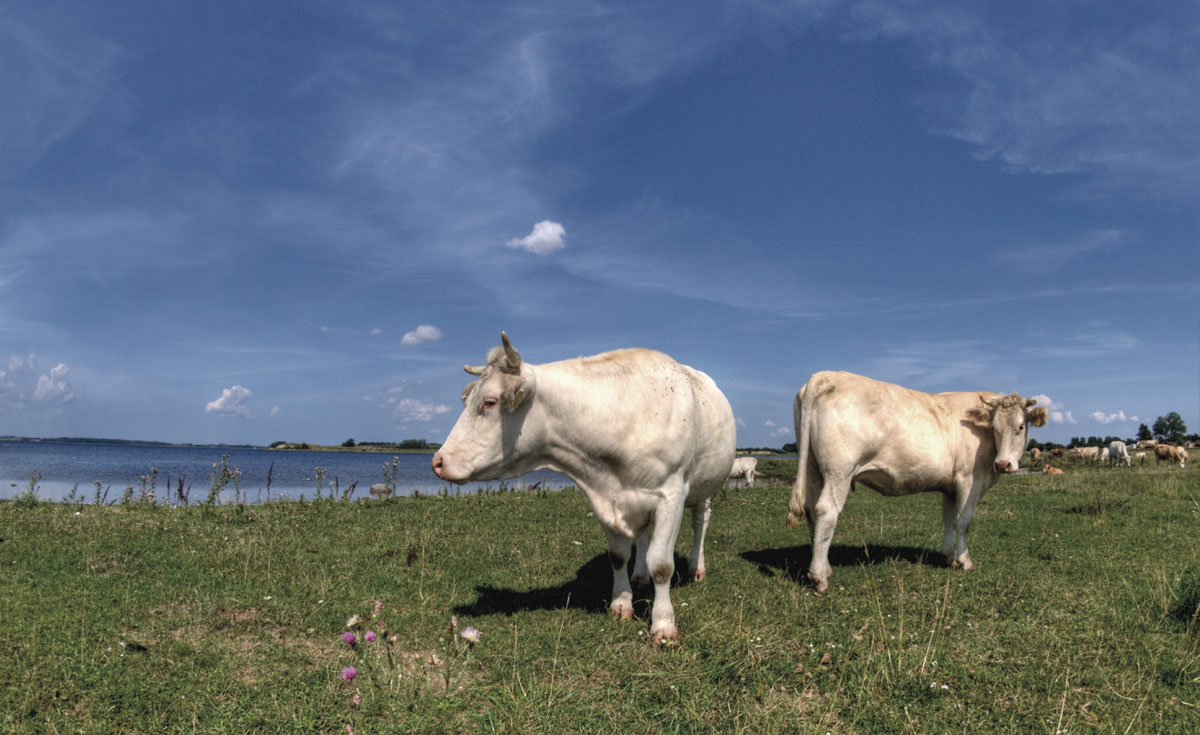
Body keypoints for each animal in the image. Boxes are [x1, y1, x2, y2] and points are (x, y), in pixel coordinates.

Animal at [427, 333, 734, 643]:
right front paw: (621, 604)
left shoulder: (671, 494)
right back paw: (639, 575)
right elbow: (618, 556)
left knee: (700, 523)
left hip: (705, 486)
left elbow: (662, 564)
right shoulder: (607, 497)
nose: (438, 462)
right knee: (644, 535)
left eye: (489, 402)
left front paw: (663, 626)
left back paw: (697, 568)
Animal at [782, 367, 1046, 590]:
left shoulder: (949, 486)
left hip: (813, 470)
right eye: (995, 428)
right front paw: (965, 561)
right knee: (826, 512)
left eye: (1021, 426)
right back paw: (819, 578)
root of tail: (826, 375)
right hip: (839, 472)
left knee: (812, 511)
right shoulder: (969, 479)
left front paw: (949, 556)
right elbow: (963, 521)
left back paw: (825, 568)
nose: (1003, 464)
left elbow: (948, 520)